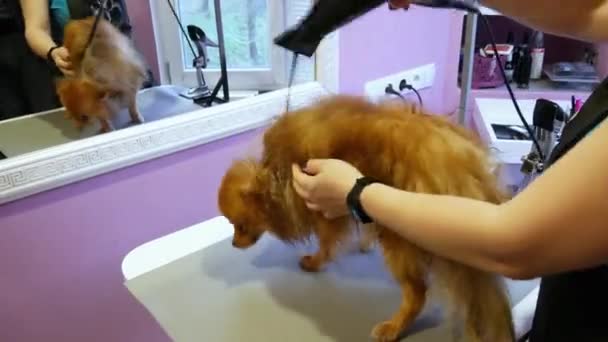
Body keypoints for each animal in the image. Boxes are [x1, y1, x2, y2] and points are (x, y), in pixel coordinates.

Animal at [217, 95, 512, 342]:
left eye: (238, 225)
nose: (233, 243)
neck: (277, 176)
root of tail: (454, 164)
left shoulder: (322, 212)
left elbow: (325, 244)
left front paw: (314, 262)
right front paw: (365, 242)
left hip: (399, 239)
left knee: (417, 293)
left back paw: (393, 327)